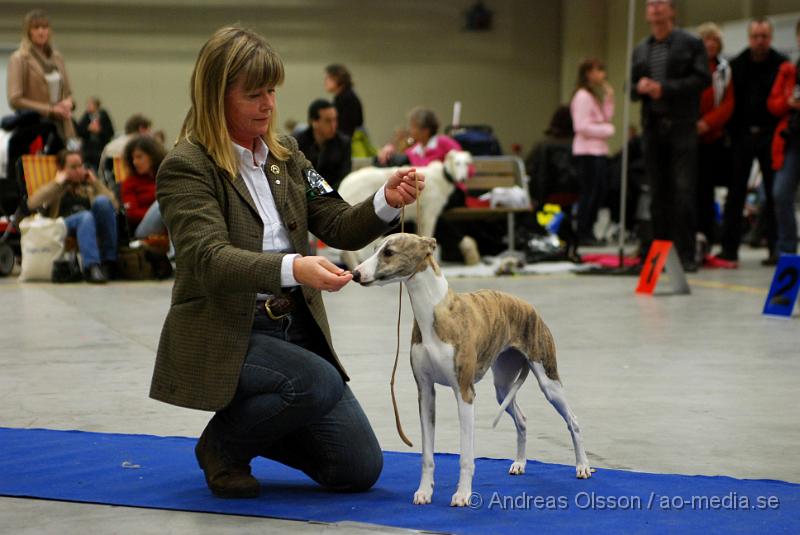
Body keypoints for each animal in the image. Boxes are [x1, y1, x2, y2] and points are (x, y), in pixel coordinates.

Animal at [334, 151, 472, 268]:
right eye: (457, 163)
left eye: (466, 164)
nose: (463, 179)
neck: (442, 177)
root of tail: (345, 183)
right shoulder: (429, 214)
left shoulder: (420, 218)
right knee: (347, 252)